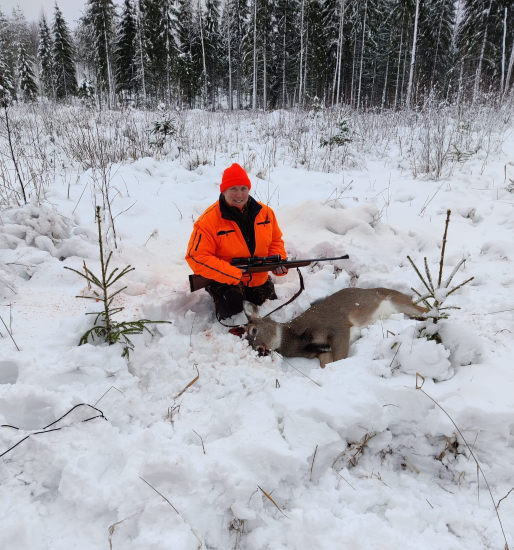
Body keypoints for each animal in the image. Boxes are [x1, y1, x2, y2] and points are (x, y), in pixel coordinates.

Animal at [243, 287, 428, 368]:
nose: (259, 350)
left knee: (426, 309)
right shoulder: (320, 351)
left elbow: (340, 358)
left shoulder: (336, 327)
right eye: (248, 343)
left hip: (402, 302)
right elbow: (326, 363)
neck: (295, 336)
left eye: (254, 330)